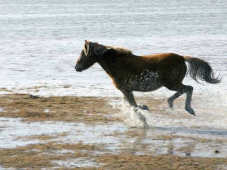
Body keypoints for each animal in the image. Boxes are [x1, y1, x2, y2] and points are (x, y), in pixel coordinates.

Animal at [75, 39, 221, 116]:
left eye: (83, 53)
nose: (77, 67)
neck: (117, 63)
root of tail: (182, 57)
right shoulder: (126, 91)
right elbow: (132, 105)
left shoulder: (127, 90)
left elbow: (134, 105)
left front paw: (144, 109)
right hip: (171, 84)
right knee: (184, 90)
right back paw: (171, 103)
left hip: (171, 83)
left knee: (188, 89)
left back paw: (189, 109)